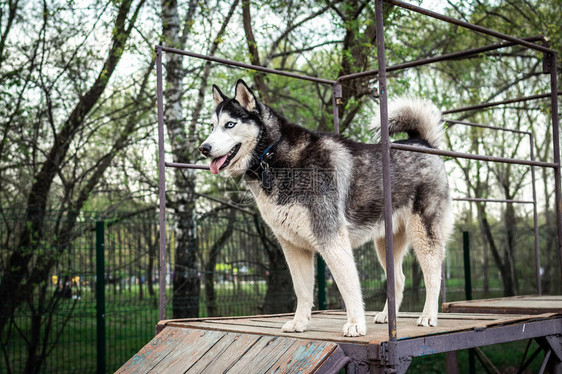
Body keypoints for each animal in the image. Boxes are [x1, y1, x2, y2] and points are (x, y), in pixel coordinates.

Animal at [199, 79, 452, 336]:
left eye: (230, 124)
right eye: (212, 126)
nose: (204, 148)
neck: (273, 156)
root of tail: (422, 143)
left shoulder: (330, 237)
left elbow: (347, 284)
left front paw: (355, 324)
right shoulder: (292, 246)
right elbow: (302, 289)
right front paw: (300, 322)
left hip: (423, 233)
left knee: (433, 275)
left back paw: (428, 315)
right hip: (385, 242)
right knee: (399, 278)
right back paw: (385, 315)